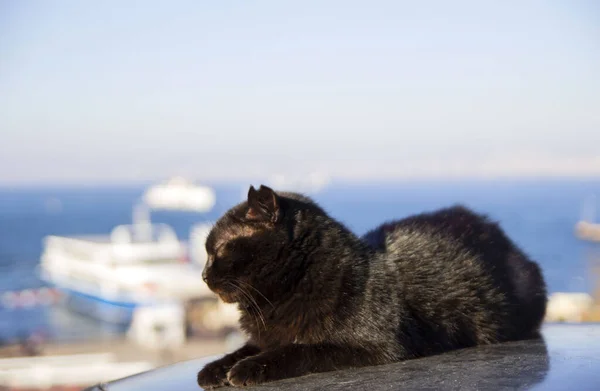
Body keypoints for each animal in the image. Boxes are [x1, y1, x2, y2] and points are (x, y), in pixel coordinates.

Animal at [198, 186, 548, 388]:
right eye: (208, 251)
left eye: (220, 249)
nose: (202, 275)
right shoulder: (265, 336)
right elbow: (244, 348)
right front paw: (215, 369)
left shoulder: (374, 345)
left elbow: (299, 350)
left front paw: (248, 369)